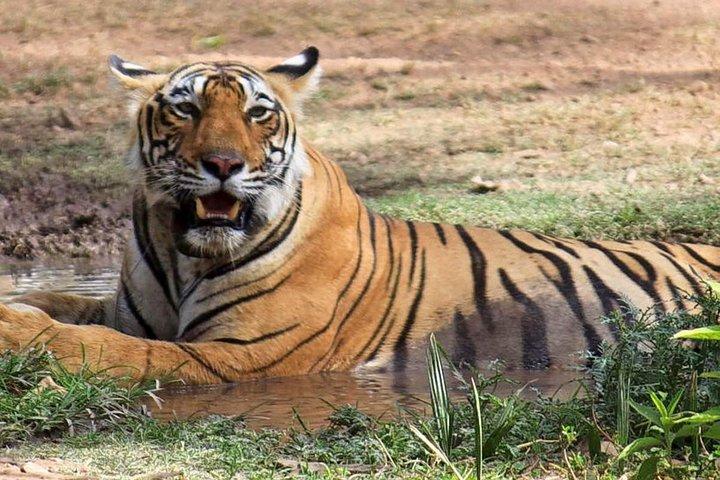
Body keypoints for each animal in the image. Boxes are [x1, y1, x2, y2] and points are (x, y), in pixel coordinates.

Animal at [1, 46, 719, 385]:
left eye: (258, 113)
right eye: (186, 108)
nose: (224, 163)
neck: (183, 253)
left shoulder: (241, 355)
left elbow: (110, 348)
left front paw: (17, 330)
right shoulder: (127, 308)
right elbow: (66, 303)